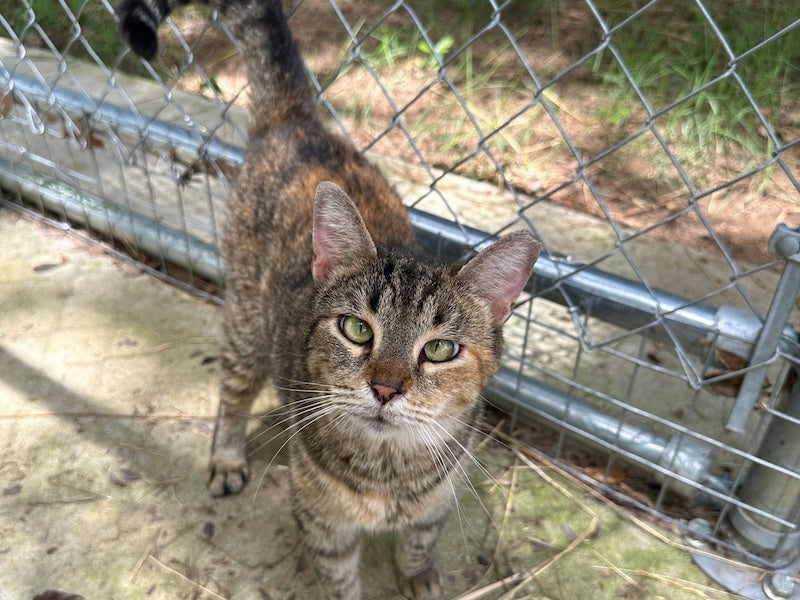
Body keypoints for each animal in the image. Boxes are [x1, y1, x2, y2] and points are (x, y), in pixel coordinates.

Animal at [119, 2, 540, 596]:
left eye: (440, 350)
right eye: (357, 329)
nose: (385, 388)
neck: (388, 473)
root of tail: (298, 121)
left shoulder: (434, 506)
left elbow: (419, 542)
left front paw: (420, 576)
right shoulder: (324, 525)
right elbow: (340, 578)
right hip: (246, 325)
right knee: (231, 396)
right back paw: (226, 457)